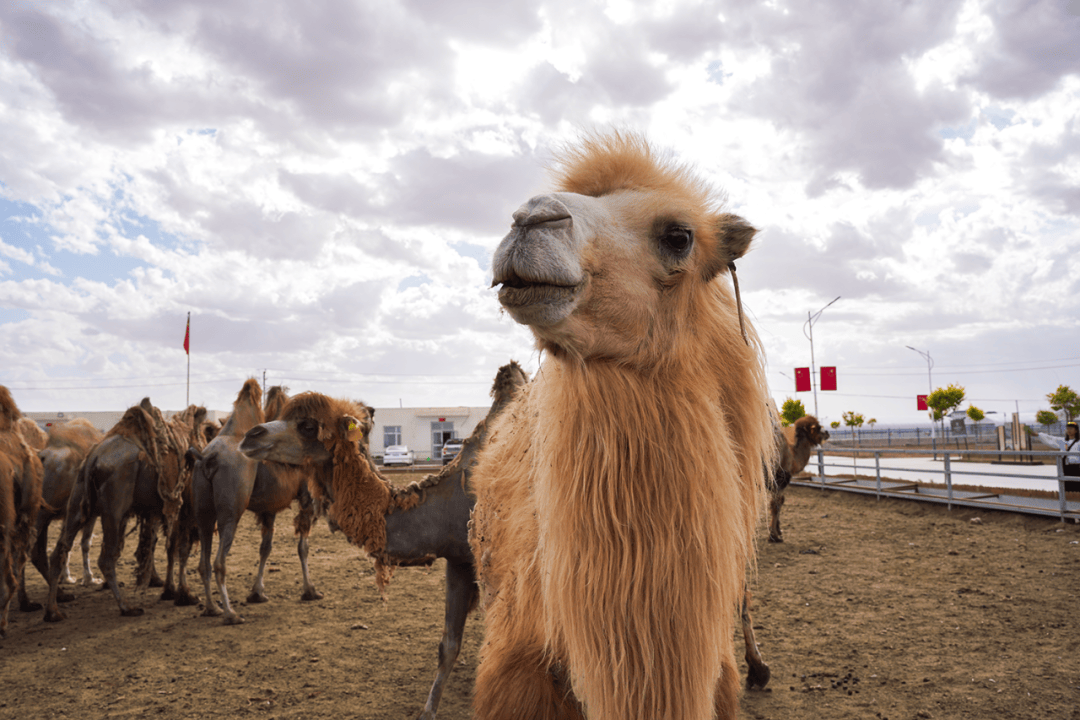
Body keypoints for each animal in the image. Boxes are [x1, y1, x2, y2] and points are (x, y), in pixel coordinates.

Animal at [42, 397, 206, 621]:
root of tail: (94, 458)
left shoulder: (168, 512)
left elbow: (168, 548)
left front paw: (170, 590)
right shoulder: (184, 510)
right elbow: (181, 550)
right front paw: (185, 595)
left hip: (78, 500)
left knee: (59, 551)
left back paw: (53, 611)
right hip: (115, 506)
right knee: (106, 558)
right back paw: (127, 607)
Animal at [187, 379, 321, 621]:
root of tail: (207, 457)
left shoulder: (269, 509)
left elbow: (265, 548)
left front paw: (257, 593)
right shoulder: (307, 499)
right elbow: (303, 547)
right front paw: (310, 591)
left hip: (202, 509)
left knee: (204, 562)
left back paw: (212, 608)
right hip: (231, 512)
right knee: (219, 562)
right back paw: (230, 614)